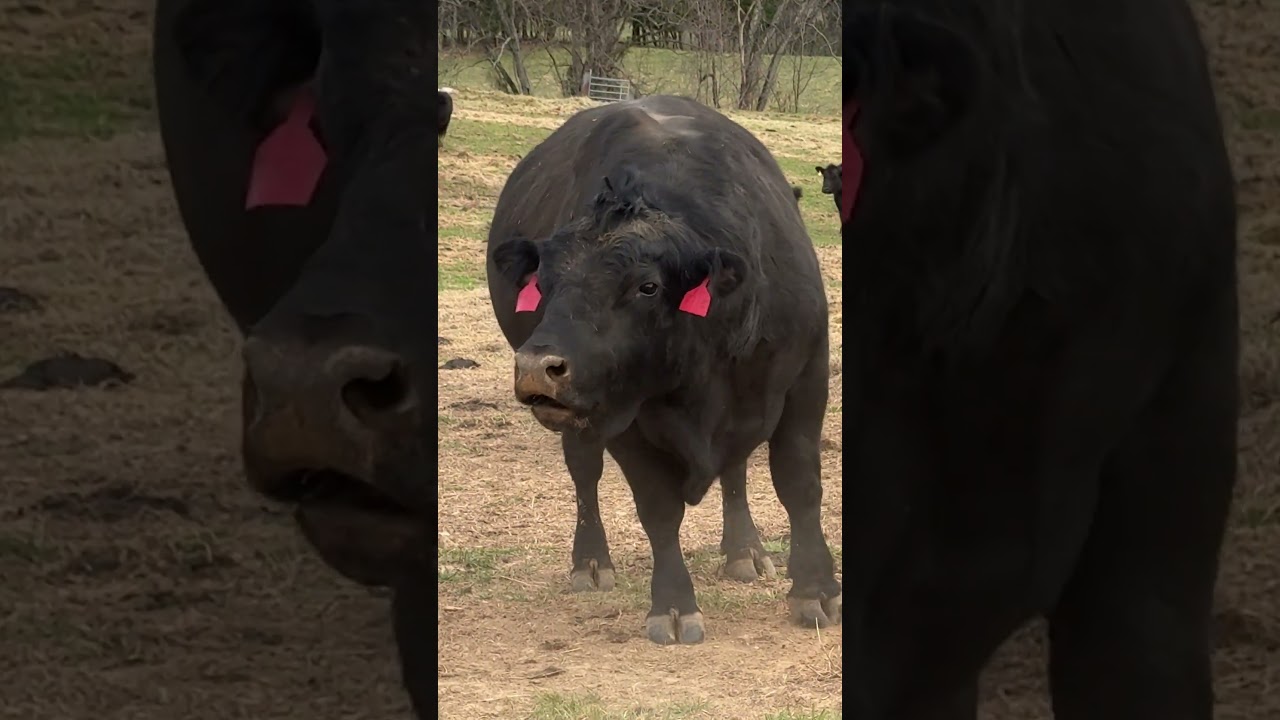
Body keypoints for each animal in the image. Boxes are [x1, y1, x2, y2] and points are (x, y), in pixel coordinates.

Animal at [485, 95, 842, 645]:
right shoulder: (623, 418)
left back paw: (744, 551)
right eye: (542, 283)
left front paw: (816, 591)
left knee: (736, 469)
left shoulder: (807, 377)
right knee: (584, 472)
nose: (536, 367)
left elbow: (798, 483)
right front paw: (673, 605)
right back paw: (590, 562)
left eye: (647, 286)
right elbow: (658, 509)